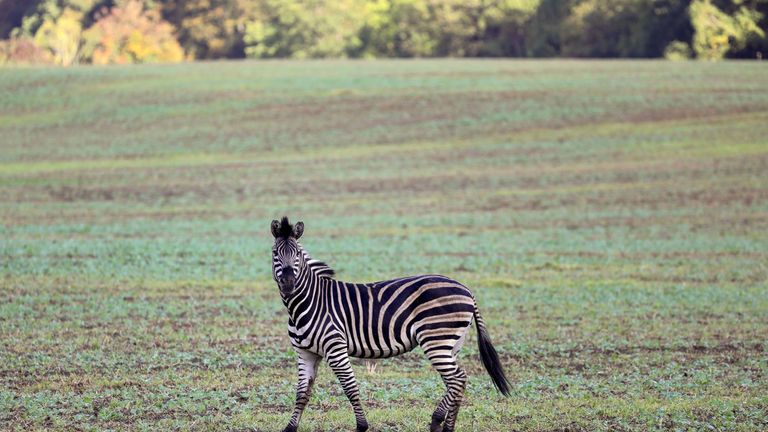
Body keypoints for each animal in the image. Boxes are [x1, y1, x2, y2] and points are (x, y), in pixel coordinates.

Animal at [270, 216, 510, 432]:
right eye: (275, 254)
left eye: (297, 254)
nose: (289, 284)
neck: (306, 303)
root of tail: (466, 289)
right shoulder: (306, 353)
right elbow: (302, 393)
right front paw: (290, 428)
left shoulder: (335, 348)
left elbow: (350, 387)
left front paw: (362, 426)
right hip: (452, 343)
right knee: (455, 381)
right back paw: (442, 424)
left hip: (436, 340)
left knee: (458, 379)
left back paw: (442, 424)